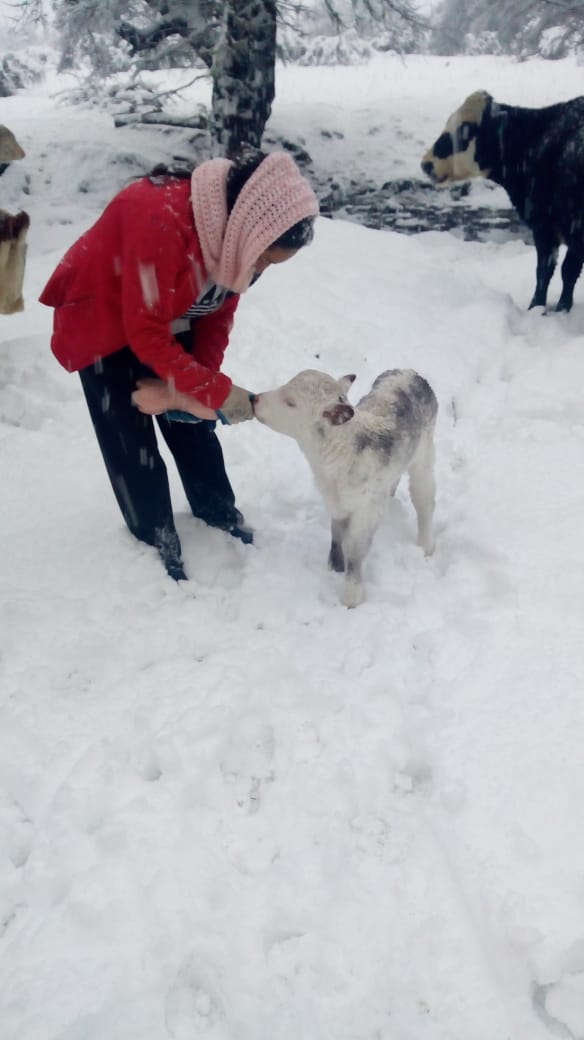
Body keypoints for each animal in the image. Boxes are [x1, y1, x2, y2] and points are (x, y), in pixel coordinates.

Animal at [253, 368, 438, 608]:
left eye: (290, 402)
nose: (254, 399)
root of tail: (410, 373)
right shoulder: (335, 500)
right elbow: (336, 530)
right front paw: (334, 564)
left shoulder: (366, 509)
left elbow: (356, 548)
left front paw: (351, 596)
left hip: (424, 455)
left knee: (424, 498)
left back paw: (426, 545)